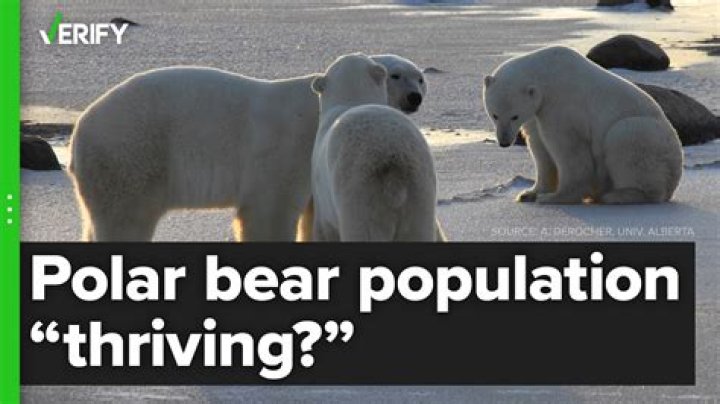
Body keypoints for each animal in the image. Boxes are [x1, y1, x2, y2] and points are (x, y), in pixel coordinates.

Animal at [69, 54, 427, 241]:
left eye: (419, 77)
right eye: (396, 75)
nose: (415, 98)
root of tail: (79, 132)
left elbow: (311, 213)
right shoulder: (289, 145)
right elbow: (271, 209)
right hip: (130, 159)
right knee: (126, 220)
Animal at [482, 46, 683, 204]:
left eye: (514, 116)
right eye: (495, 115)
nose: (504, 142)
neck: (547, 74)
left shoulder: (561, 105)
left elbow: (568, 148)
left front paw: (555, 197)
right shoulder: (536, 113)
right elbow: (539, 148)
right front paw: (529, 193)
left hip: (649, 140)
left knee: (625, 139)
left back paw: (619, 195)